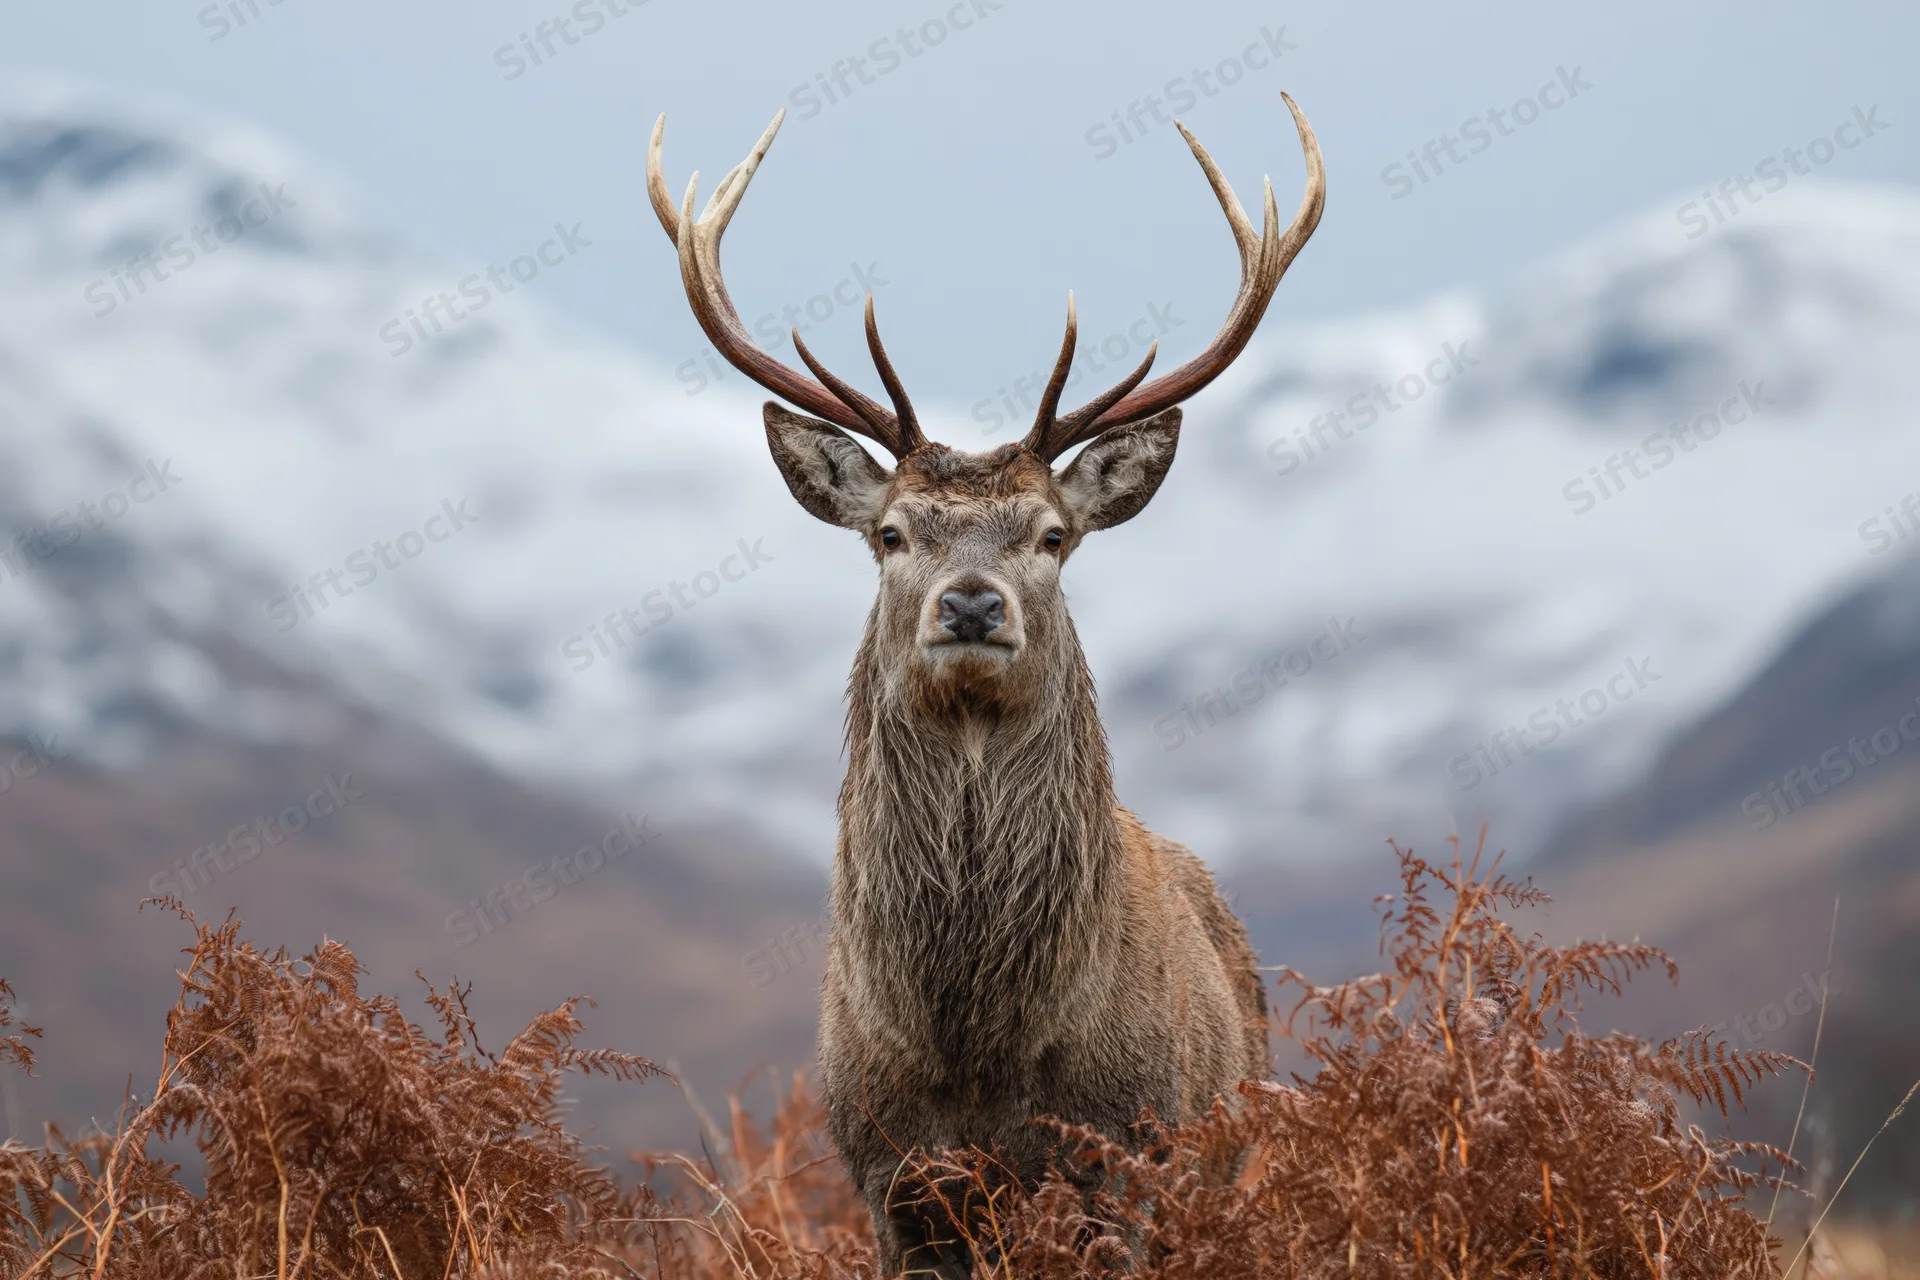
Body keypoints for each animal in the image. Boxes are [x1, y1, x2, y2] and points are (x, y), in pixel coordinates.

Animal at [647, 92, 1323, 1277]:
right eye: (890, 533)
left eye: (1052, 535)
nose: (970, 603)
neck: (978, 1045)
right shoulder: (888, 1174)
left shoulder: (1124, 1156)